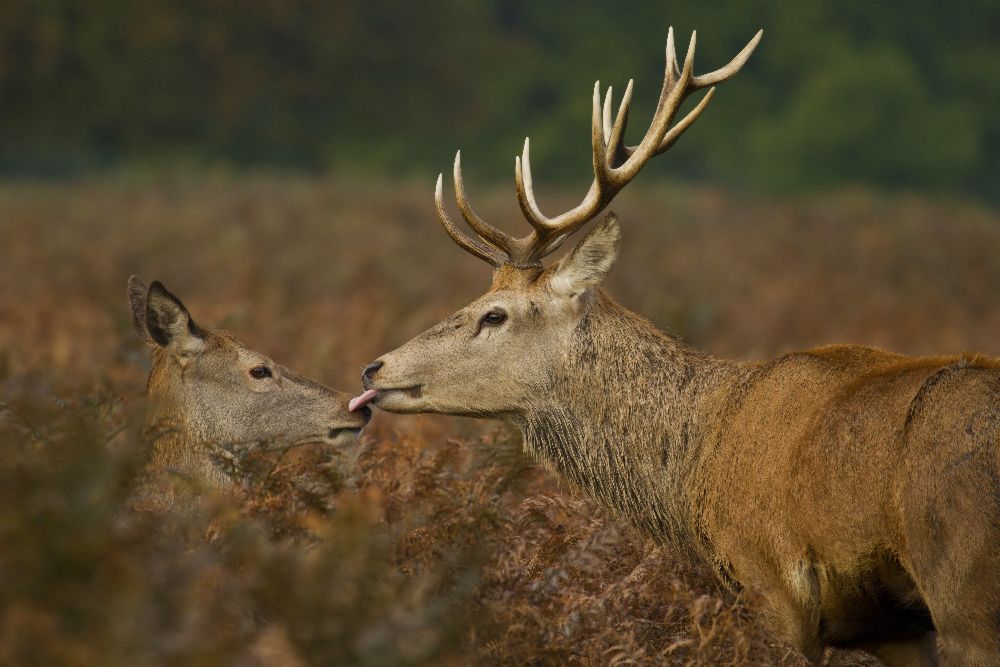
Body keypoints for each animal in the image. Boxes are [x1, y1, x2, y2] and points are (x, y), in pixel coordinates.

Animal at [356, 28, 1000, 664]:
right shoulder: (893, 629)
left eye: (495, 314)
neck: (698, 464)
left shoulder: (771, 586)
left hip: (965, 587)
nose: (373, 369)